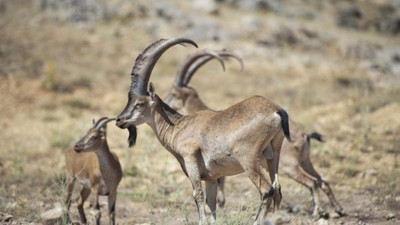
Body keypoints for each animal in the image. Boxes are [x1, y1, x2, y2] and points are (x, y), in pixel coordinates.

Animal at [115, 37, 290, 224]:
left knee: (266, 190)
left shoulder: (190, 159)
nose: (119, 120)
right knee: (277, 188)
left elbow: (197, 194)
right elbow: (210, 202)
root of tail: (276, 111)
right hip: (273, 155)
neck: (177, 126)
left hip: (248, 159)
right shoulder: (212, 177)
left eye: (139, 103)